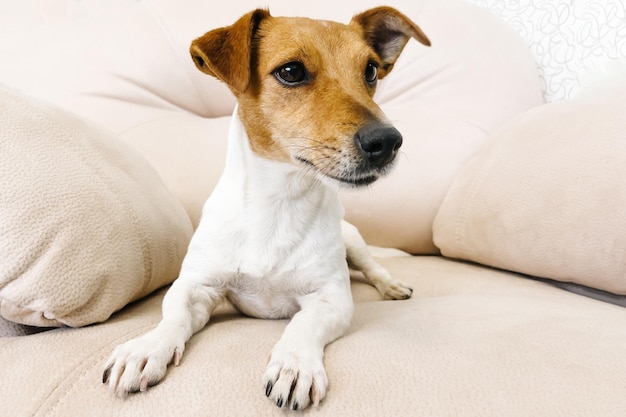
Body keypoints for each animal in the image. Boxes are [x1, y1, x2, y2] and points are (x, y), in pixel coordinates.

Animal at [102, 6, 428, 410]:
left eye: (369, 70)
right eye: (291, 71)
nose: (388, 141)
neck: (278, 202)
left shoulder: (332, 298)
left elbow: (302, 324)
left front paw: (294, 365)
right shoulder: (196, 286)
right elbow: (172, 316)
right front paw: (146, 348)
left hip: (352, 240)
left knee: (372, 267)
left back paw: (391, 285)